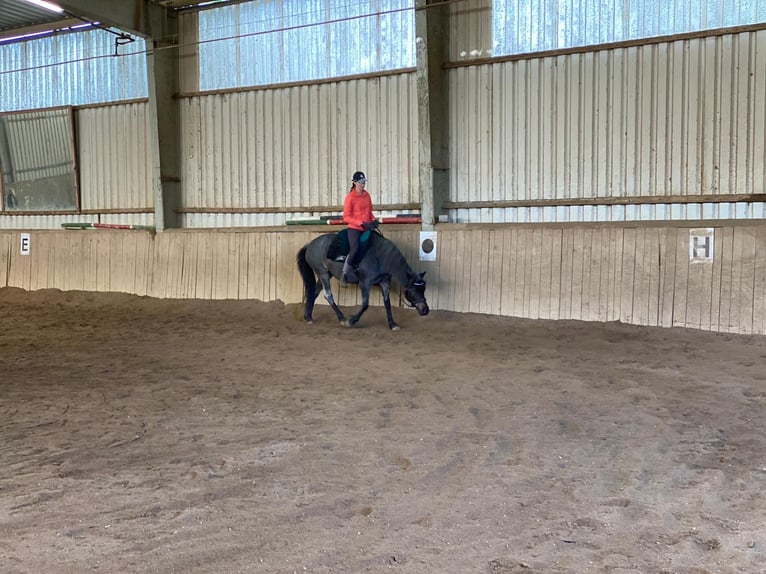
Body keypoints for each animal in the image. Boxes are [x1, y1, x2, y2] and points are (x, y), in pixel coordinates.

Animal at [298, 228, 432, 328]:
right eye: (413, 289)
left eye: (424, 288)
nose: (425, 310)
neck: (381, 257)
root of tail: (309, 245)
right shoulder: (365, 283)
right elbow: (365, 304)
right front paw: (351, 321)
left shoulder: (385, 282)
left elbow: (387, 303)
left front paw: (392, 324)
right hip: (323, 274)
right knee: (328, 295)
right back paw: (342, 318)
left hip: (325, 274)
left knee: (314, 293)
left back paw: (308, 317)